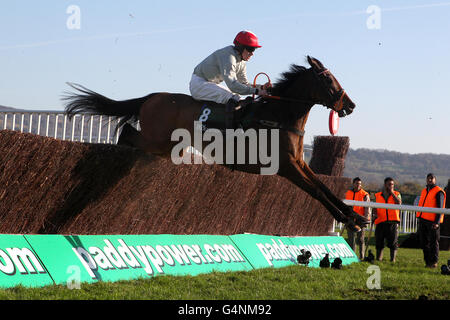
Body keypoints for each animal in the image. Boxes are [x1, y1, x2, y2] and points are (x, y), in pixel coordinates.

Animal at [63, 54, 370, 230]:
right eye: (329, 80)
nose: (351, 105)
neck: (279, 115)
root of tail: (153, 96)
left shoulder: (297, 163)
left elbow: (323, 187)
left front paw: (356, 218)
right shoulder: (285, 167)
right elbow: (316, 191)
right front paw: (350, 220)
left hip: (166, 147)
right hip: (157, 140)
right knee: (126, 131)